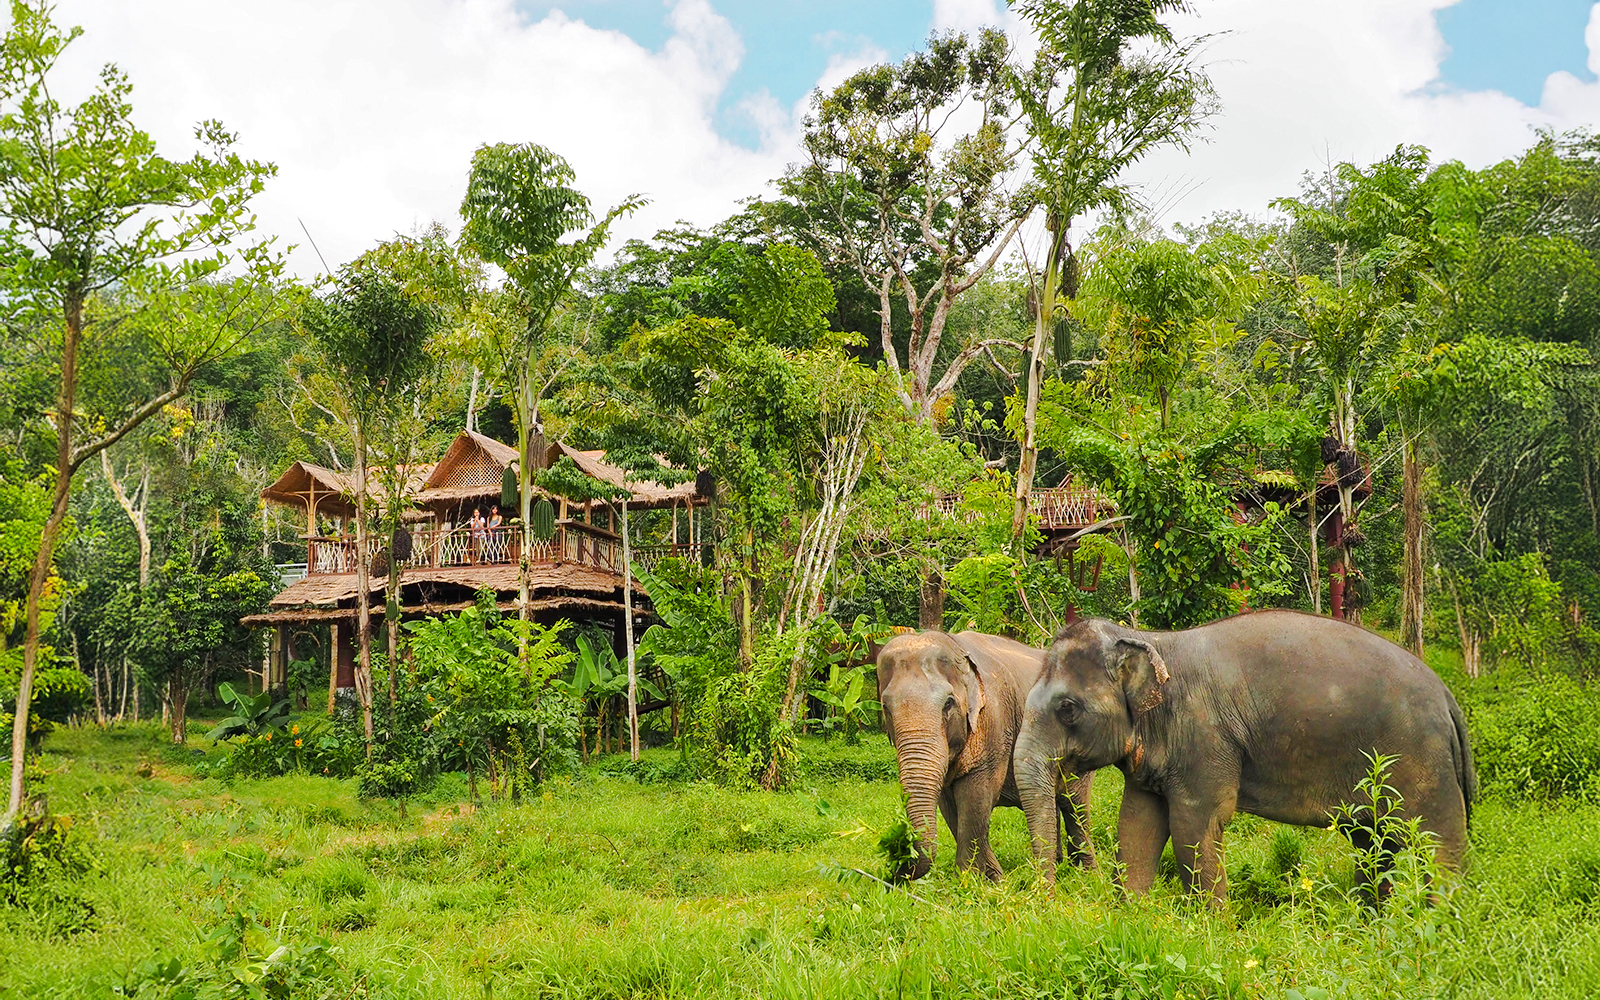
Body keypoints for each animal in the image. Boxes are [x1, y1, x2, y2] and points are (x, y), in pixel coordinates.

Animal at [876, 630, 1096, 880]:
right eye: (885, 707)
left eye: (948, 703)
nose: (892, 869)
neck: (954, 645)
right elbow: (950, 807)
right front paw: (993, 878)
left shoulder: (994, 722)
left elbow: (976, 797)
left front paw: (971, 880)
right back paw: (1060, 865)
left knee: (1074, 802)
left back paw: (1087, 874)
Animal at [1012, 610, 1475, 903]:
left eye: (1067, 708)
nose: (1050, 902)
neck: (1151, 639)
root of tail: (1448, 697)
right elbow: (1137, 824)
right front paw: (1130, 917)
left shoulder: (1204, 739)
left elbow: (1193, 825)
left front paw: (1211, 929)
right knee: (1373, 841)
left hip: (1423, 759)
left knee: (1435, 842)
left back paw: (1439, 930)